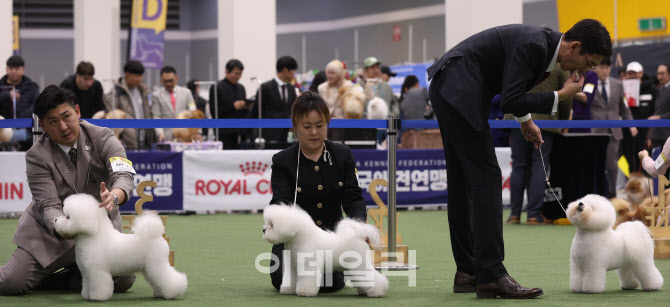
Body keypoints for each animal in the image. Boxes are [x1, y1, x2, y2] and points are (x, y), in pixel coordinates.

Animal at [53, 195, 186, 300]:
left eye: (68, 217)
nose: (55, 219)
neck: (95, 236)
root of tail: (156, 235)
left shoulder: (97, 271)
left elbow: (99, 285)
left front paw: (97, 297)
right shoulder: (86, 273)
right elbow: (86, 285)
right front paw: (86, 295)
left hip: (157, 264)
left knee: (168, 277)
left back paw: (173, 292)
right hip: (148, 268)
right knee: (157, 281)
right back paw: (159, 293)